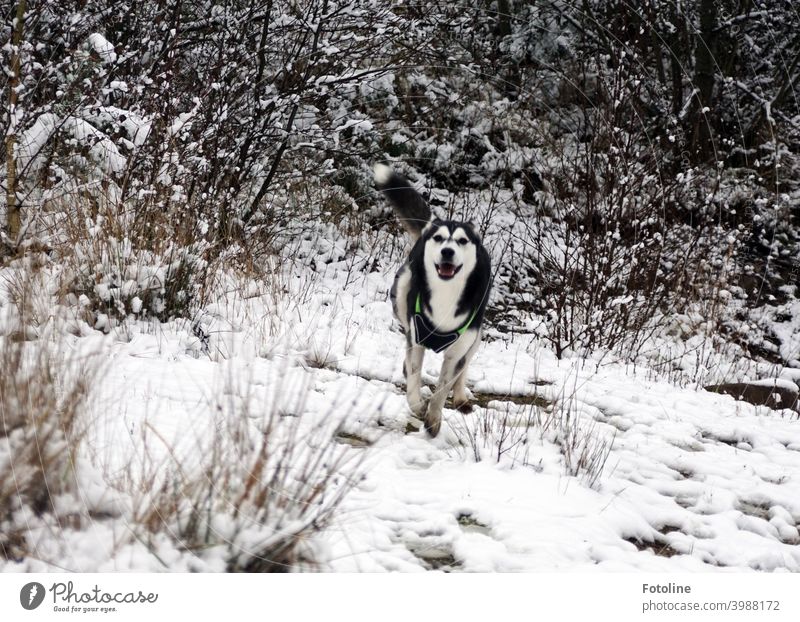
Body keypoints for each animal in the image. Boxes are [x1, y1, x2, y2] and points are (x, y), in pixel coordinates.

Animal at [372, 166, 490, 438]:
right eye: (439, 238)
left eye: (462, 241)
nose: (447, 251)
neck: (446, 292)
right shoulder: (417, 338)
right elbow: (414, 378)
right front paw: (418, 406)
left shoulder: (459, 349)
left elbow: (443, 387)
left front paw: (434, 419)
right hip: (403, 288)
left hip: (476, 336)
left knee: (464, 365)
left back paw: (460, 397)